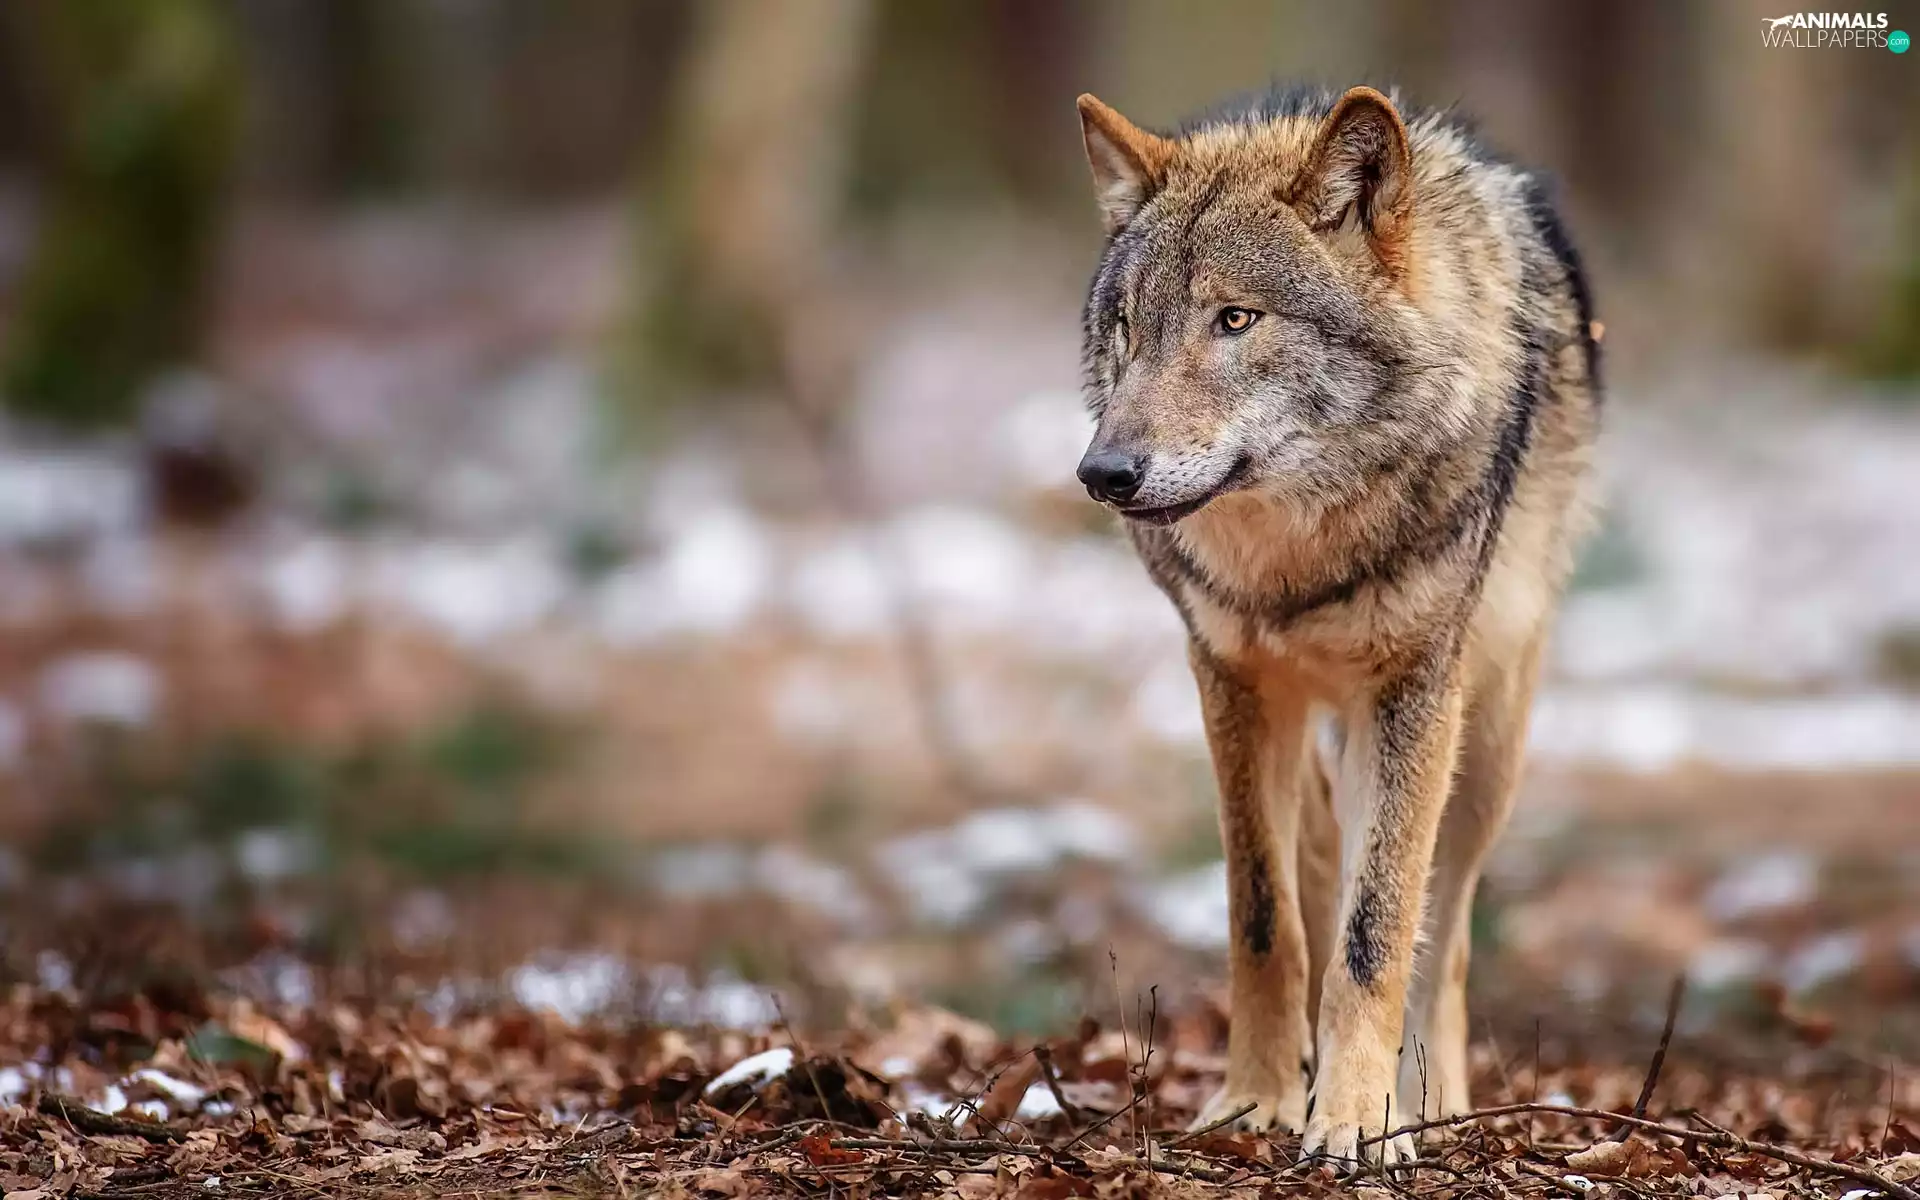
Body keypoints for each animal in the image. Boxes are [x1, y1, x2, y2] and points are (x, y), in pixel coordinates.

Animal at [1071, 85, 1600, 1164]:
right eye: (1127, 326)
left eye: (1235, 319)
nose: (1103, 473)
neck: (1296, 560)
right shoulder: (1229, 681)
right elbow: (1264, 918)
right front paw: (1257, 1101)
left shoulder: (1413, 693)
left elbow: (1378, 929)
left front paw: (1360, 1119)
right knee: (1316, 858)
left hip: (1485, 746)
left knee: (1446, 928)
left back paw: (1430, 1096)